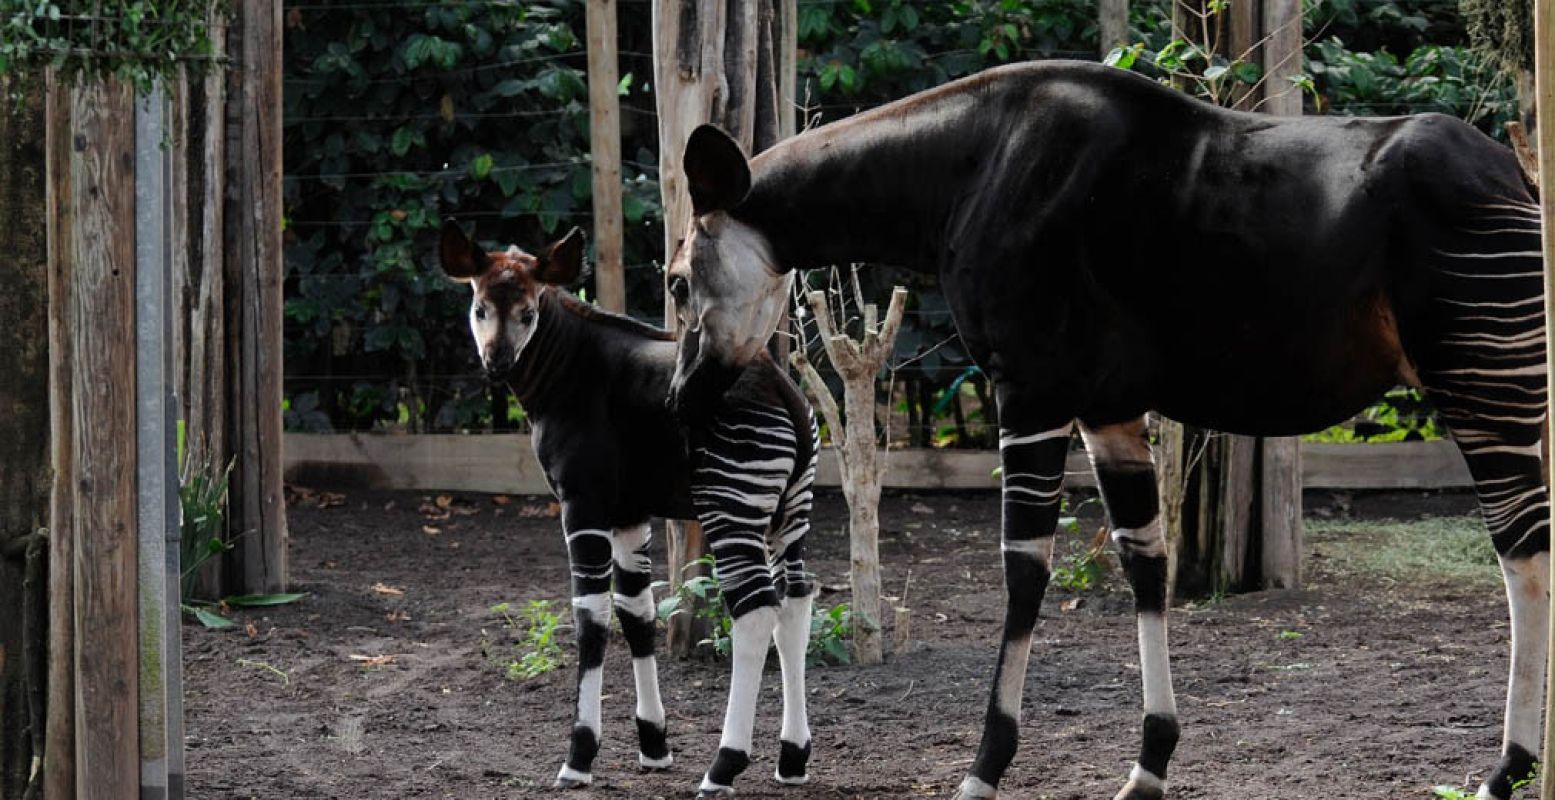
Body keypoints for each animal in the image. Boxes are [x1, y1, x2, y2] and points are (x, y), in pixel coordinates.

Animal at [438, 221, 821, 793]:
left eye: (528, 313)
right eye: (481, 308)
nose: (498, 363)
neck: (564, 372)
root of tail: (787, 394)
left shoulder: (583, 503)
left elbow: (592, 619)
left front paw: (579, 757)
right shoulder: (629, 514)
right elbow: (638, 614)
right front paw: (654, 745)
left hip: (730, 506)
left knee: (755, 613)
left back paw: (723, 765)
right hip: (792, 511)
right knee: (795, 603)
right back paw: (792, 759)